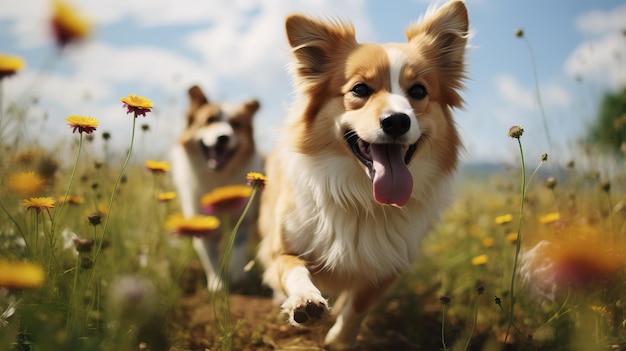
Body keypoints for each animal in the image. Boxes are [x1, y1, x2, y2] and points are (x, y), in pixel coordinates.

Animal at [169, 85, 262, 292]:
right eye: (210, 120)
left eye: (236, 124)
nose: (223, 137)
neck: (218, 178)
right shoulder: (201, 225)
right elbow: (210, 258)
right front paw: (216, 284)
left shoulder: (243, 221)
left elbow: (237, 250)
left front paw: (236, 276)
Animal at [256, 2, 466, 350]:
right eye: (359, 89)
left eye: (418, 91)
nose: (397, 121)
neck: (362, 197)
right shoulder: (280, 249)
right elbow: (293, 268)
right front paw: (305, 301)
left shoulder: (390, 263)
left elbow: (358, 304)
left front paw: (338, 338)